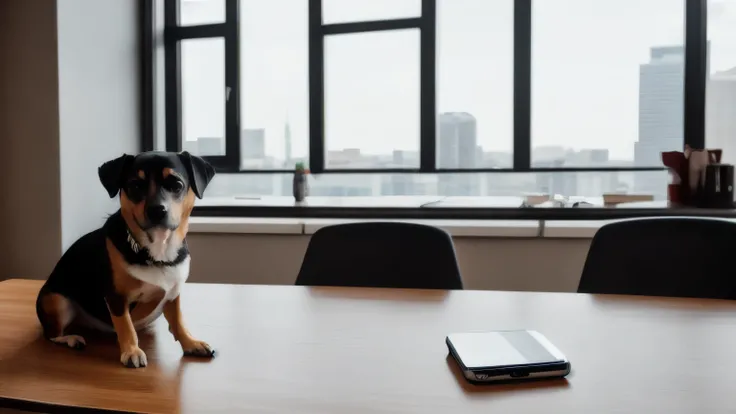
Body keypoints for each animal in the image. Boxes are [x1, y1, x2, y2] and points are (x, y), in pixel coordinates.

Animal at [36, 150, 216, 368]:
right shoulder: (117, 297)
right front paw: (131, 351)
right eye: (135, 186)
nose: (157, 210)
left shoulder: (173, 294)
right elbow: (125, 325)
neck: (157, 250)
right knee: (51, 335)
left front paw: (190, 343)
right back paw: (71, 338)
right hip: (56, 301)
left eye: (176, 185)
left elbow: (179, 321)